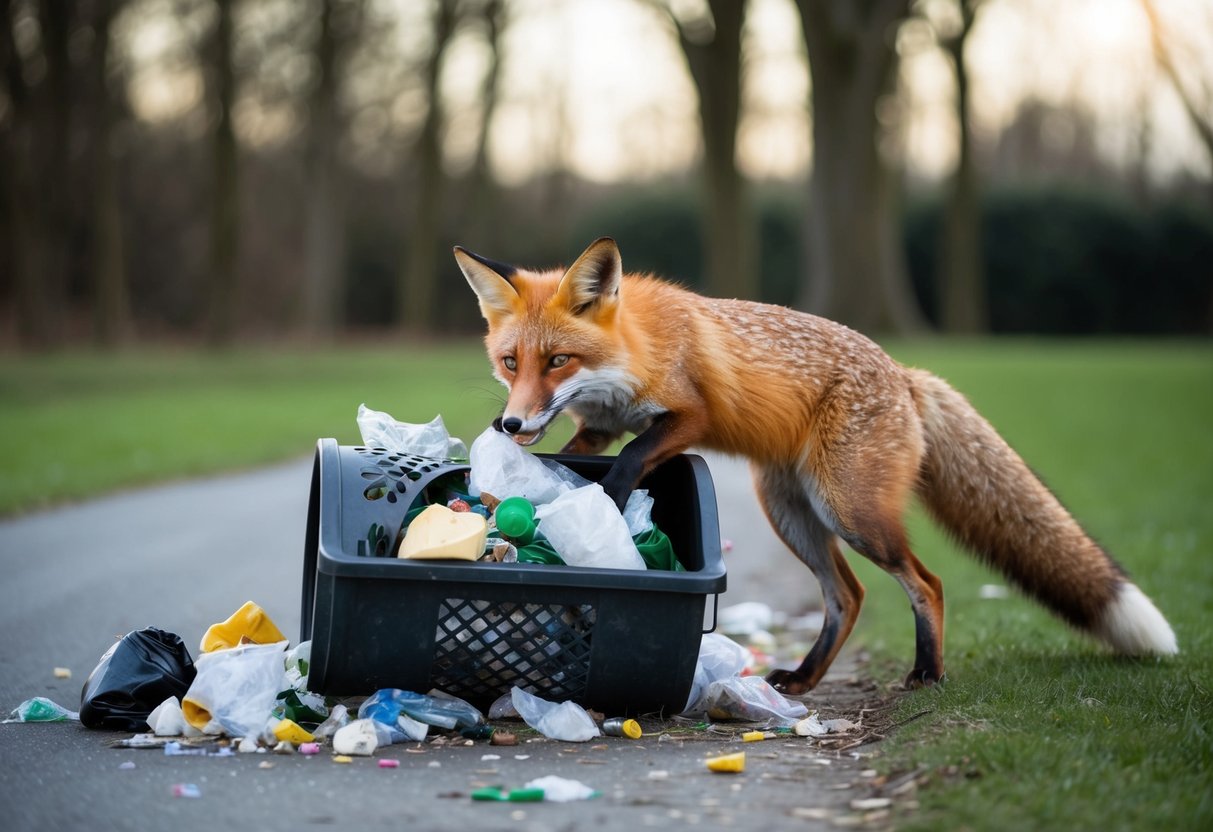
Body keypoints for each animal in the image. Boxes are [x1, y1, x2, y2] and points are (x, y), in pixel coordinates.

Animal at [453, 236, 1178, 694]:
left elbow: (637, 453)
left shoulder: (692, 416)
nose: (510, 424)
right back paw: (803, 677)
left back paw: (927, 674)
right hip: (791, 513)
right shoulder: (599, 426)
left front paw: (612, 499)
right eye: (511, 363)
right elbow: (588, 452)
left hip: (851, 512)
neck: (639, 348)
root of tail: (906, 375)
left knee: (926, 583)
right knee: (848, 595)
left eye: (558, 362)